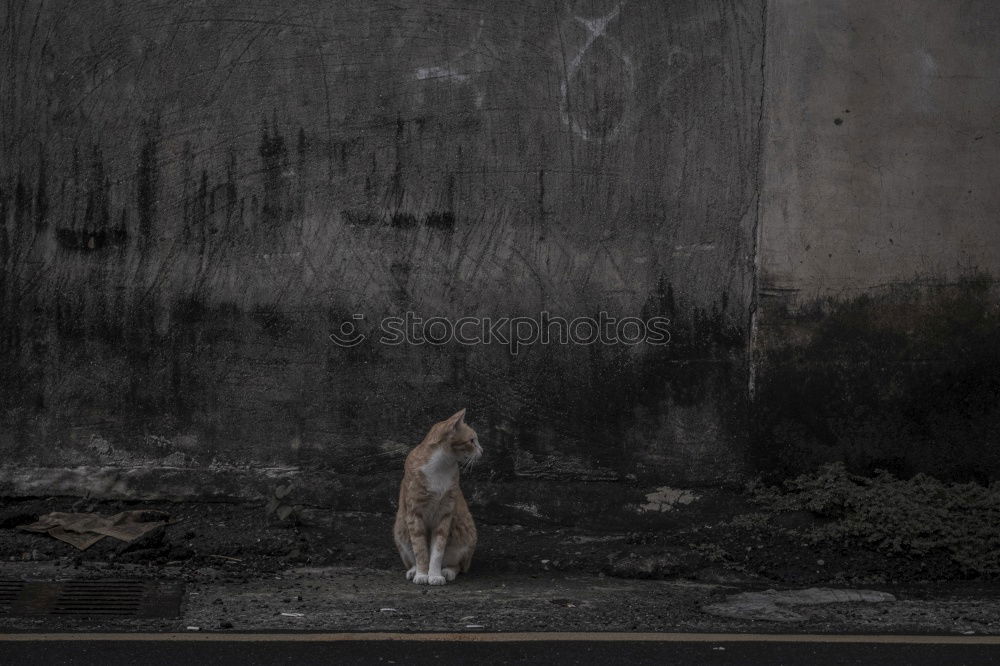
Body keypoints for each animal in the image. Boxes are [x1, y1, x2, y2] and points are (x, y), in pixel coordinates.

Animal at [392, 408, 482, 584]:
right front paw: (422, 574)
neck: (441, 466)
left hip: (466, 534)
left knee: (458, 565)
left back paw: (447, 571)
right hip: (400, 530)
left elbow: (438, 550)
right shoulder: (414, 514)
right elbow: (420, 549)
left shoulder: (445, 514)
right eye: (472, 440)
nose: (482, 451)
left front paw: (434, 575)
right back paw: (413, 570)